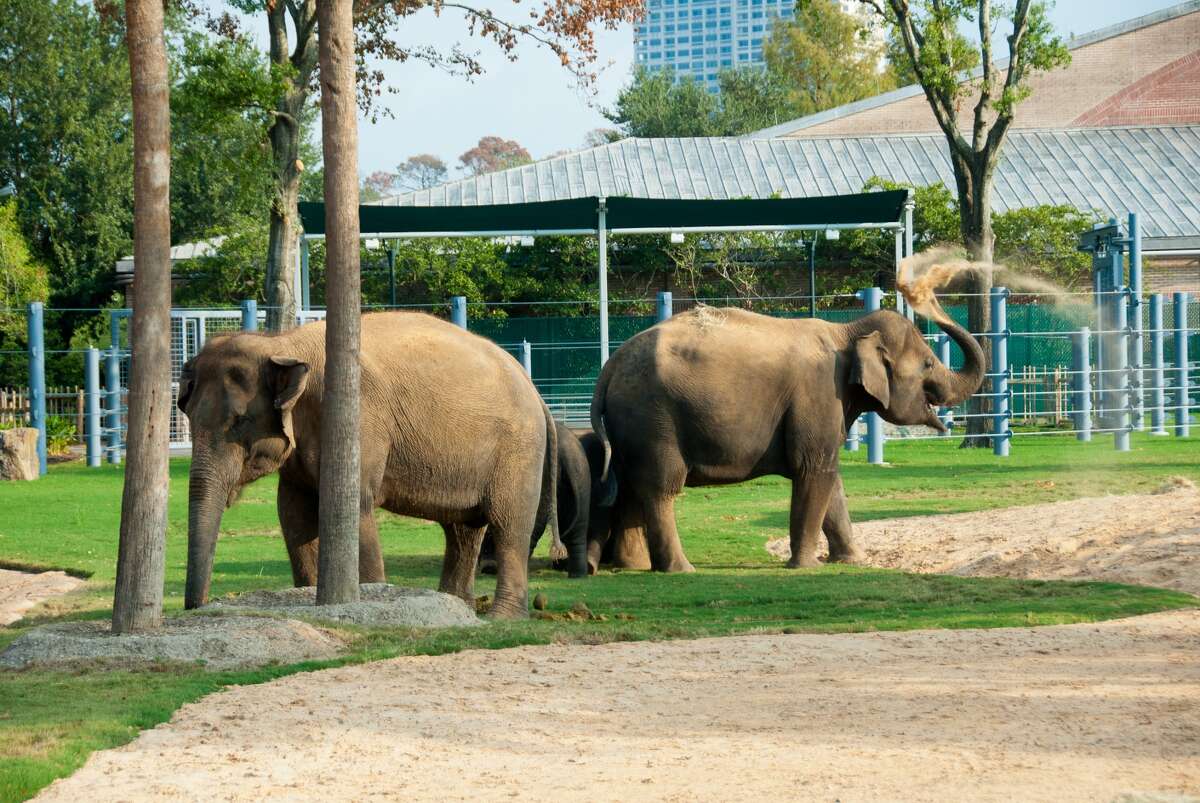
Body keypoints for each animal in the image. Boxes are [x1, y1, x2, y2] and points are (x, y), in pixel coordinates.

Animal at [176, 309, 556, 619]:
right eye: (188, 416)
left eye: (238, 421)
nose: (199, 606)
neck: (283, 344)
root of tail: (535, 391)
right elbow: (293, 513)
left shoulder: (356, 418)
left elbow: (352, 505)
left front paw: (370, 595)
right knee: (463, 530)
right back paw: (457, 606)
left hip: (519, 451)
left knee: (509, 526)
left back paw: (502, 618)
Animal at [583, 300, 984, 568]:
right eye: (928, 364)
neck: (848, 331)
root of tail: (610, 366)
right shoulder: (819, 394)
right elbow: (814, 470)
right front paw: (807, 567)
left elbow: (831, 480)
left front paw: (852, 561)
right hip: (654, 419)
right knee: (660, 489)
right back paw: (682, 569)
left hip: (632, 428)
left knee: (631, 488)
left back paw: (633, 567)